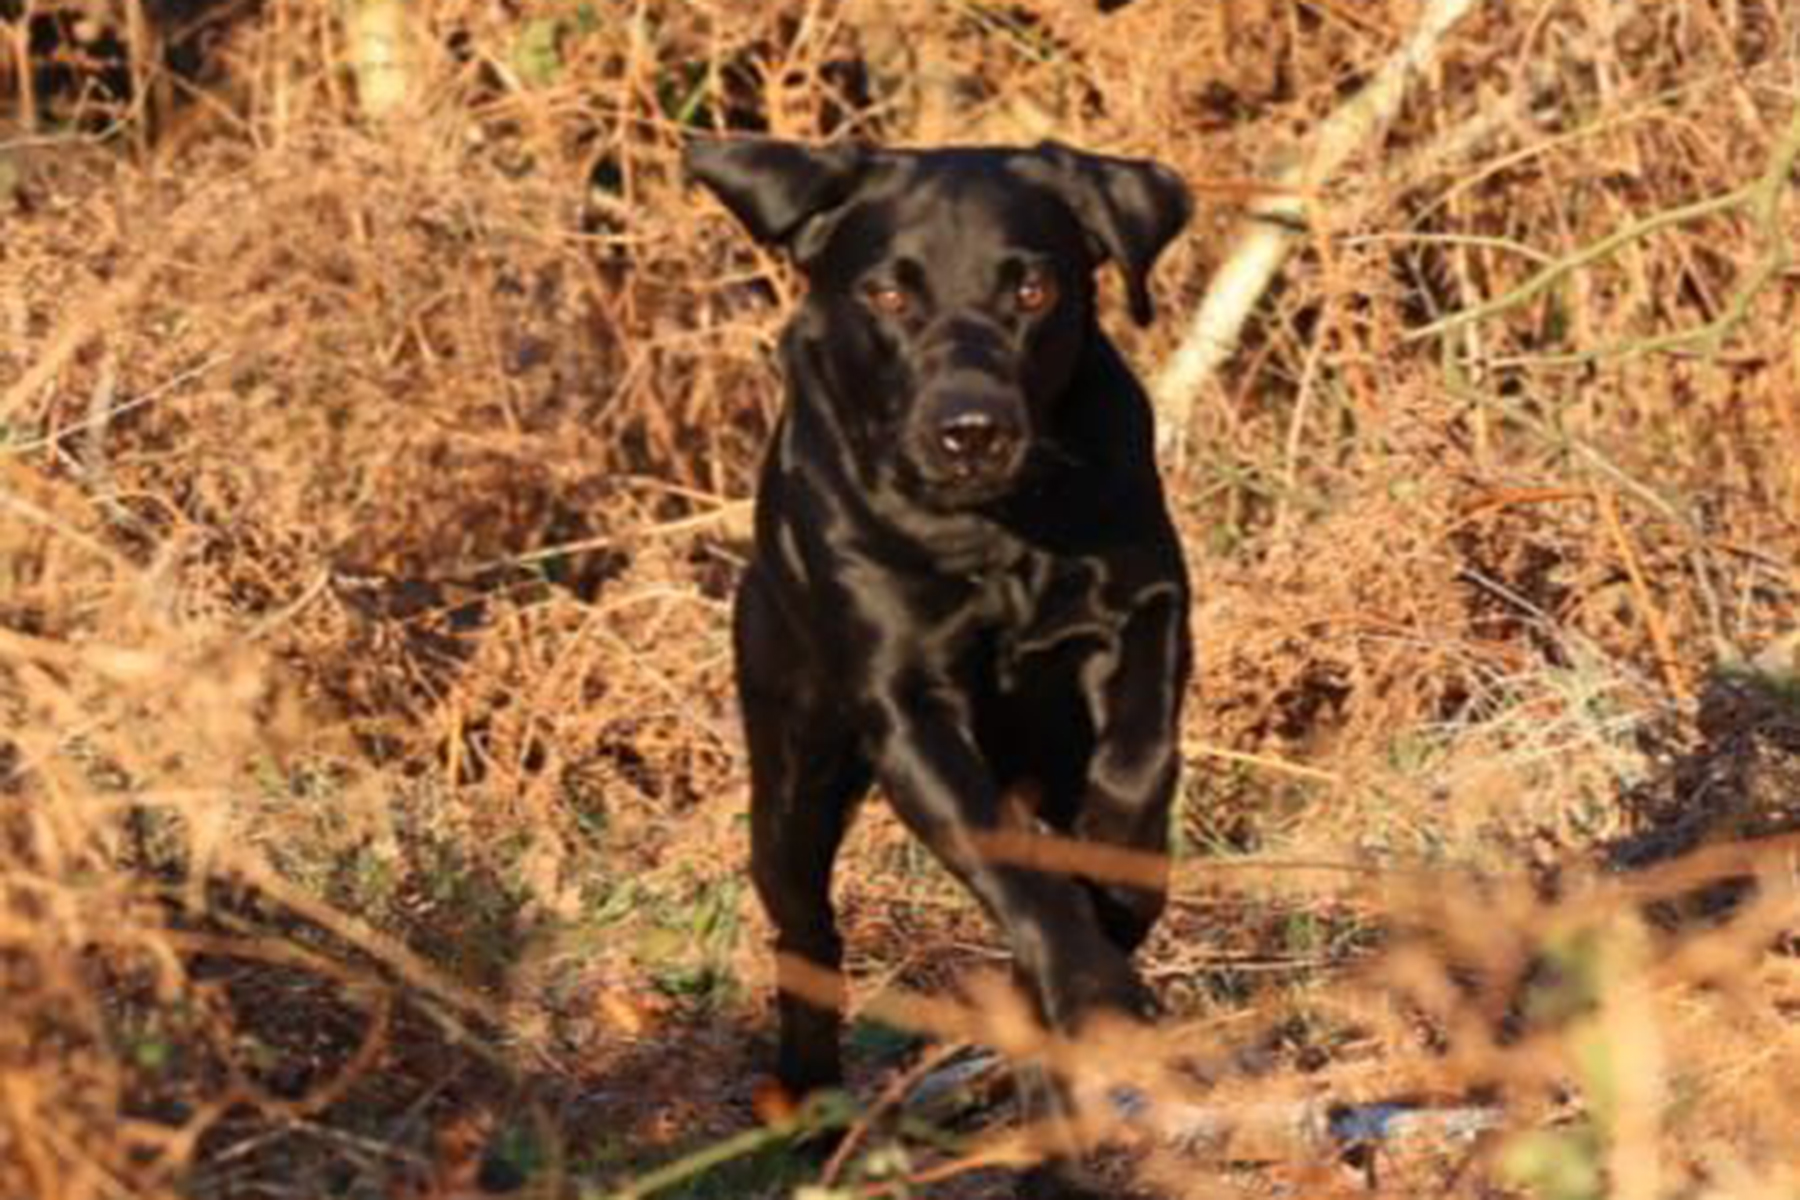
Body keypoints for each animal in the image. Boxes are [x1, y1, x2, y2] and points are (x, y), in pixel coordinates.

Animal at [691, 138, 1195, 1194]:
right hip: (792, 770)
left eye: (1033, 288)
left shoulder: (1148, 609)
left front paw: (1119, 881)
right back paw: (812, 1110)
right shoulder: (908, 707)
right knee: (806, 932)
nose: (972, 430)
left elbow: (1138, 765)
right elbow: (1018, 870)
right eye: (888, 292)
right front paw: (1098, 982)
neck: (992, 532)